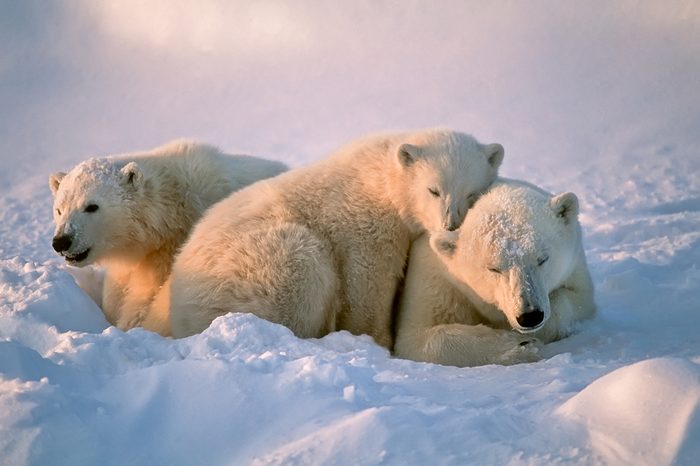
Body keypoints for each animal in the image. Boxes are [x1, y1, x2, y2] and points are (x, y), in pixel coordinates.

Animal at [164, 127, 504, 346]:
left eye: (472, 193)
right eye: (433, 189)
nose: (451, 224)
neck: (382, 179)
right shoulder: (365, 223)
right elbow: (367, 282)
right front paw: (376, 340)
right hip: (256, 265)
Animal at [394, 177, 596, 366]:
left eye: (542, 259)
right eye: (494, 269)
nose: (530, 316)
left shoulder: (575, 266)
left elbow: (578, 301)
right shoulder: (437, 281)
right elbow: (415, 338)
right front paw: (519, 346)